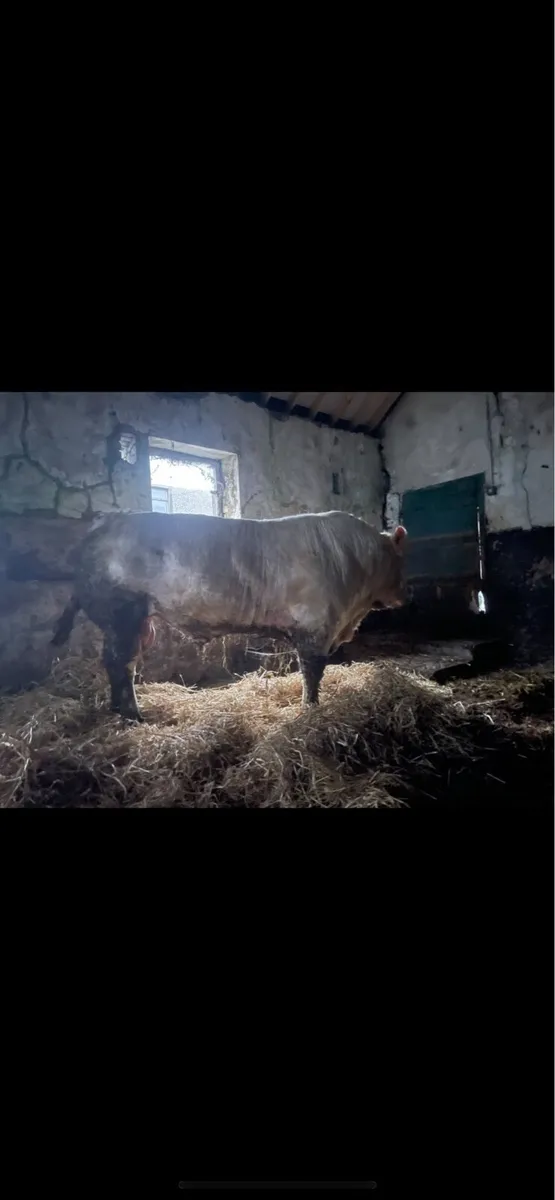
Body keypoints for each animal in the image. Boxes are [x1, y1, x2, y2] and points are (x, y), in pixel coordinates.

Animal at [51, 511, 408, 721]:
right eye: (399, 559)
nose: (401, 597)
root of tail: (98, 530)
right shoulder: (315, 628)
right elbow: (312, 673)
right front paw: (311, 709)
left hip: (137, 623)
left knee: (117, 662)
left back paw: (118, 710)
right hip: (123, 610)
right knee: (121, 662)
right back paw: (133, 715)